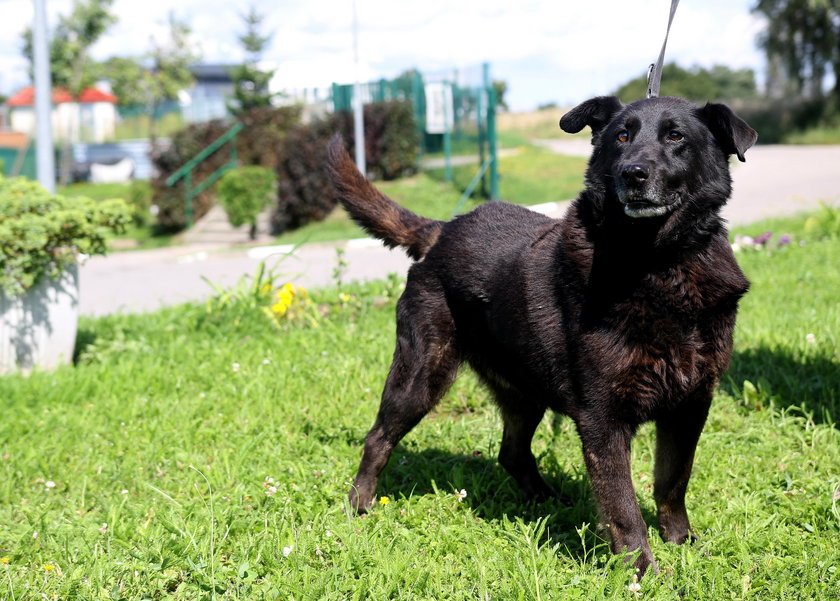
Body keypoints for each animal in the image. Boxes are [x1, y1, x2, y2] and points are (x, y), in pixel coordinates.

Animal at [326, 96, 756, 576]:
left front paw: (682, 543)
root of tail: (442, 230)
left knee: (512, 453)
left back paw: (549, 502)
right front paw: (642, 573)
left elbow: (672, 482)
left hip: (525, 391)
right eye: (621, 136)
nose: (632, 174)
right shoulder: (603, 418)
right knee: (378, 438)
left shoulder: (691, 403)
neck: (658, 264)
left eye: (676, 136)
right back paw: (359, 507)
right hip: (421, 376)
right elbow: (624, 508)